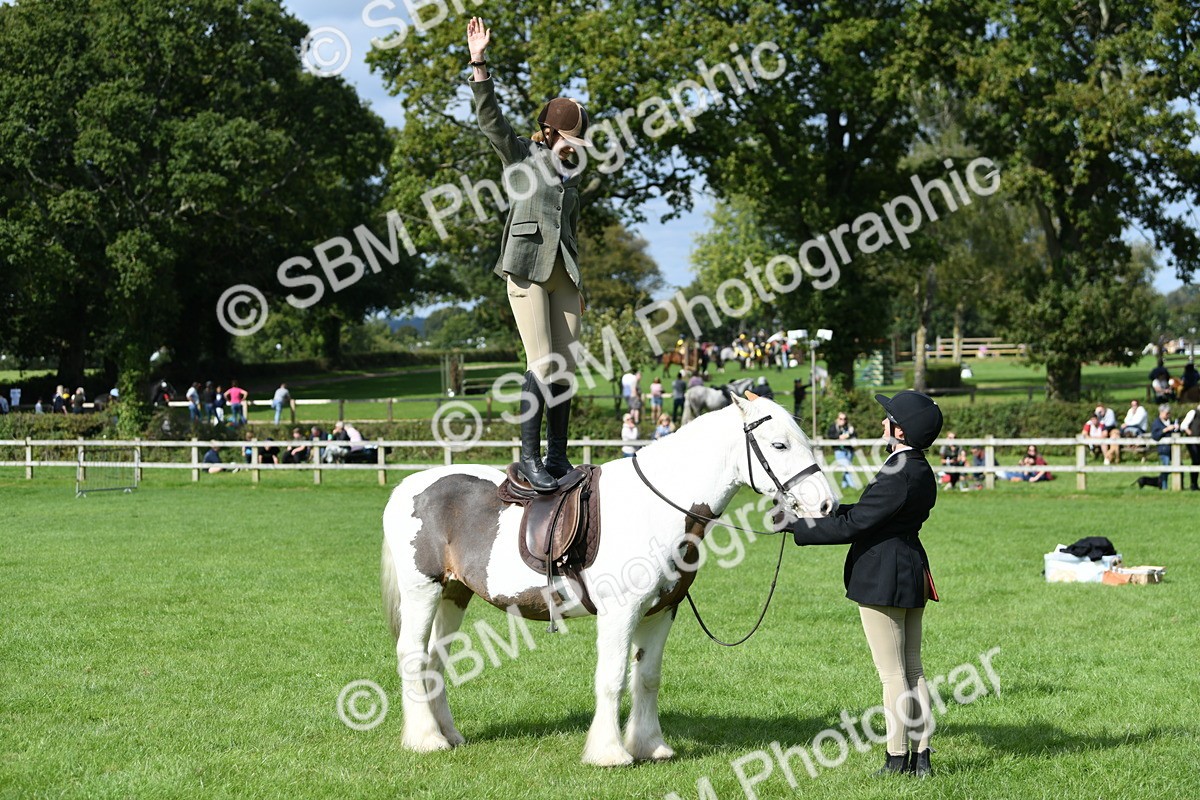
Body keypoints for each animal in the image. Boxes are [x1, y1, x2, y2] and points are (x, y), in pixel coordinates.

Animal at [381, 392, 836, 766]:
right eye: (779, 445)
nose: (827, 505)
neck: (657, 506)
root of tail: (408, 486)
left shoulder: (661, 612)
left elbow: (647, 678)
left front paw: (651, 746)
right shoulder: (620, 613)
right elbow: (613, 678)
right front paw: (609, 752)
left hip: (454, 594)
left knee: (435, 661)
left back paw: (449, 734)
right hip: (423, 591)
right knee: (413, 655)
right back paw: (426, 739)